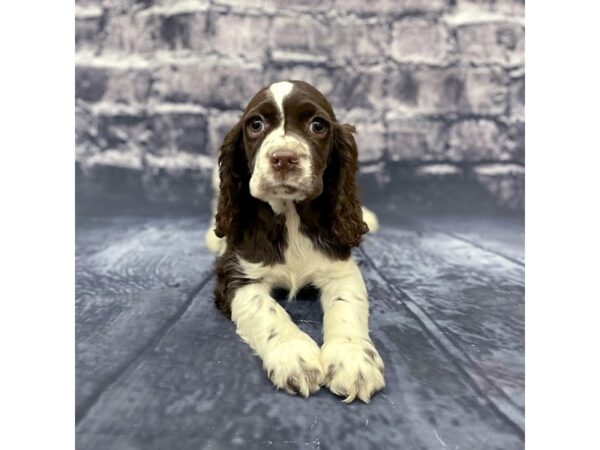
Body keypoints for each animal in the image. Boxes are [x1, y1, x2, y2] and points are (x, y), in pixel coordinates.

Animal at [206, 79, 384, 402]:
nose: (284, 159)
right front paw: (295, 357)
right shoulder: (236, 275)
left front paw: (353, 360)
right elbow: (267, 311)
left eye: (317, 125)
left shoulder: (341, 269)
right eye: (256, 125)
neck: (290, 216)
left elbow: (347, 305)